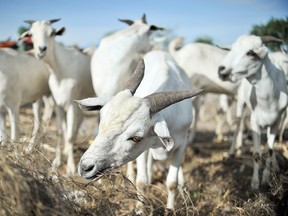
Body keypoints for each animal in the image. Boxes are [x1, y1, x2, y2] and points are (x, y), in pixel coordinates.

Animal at [20, 17, 94, 175]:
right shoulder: (58, 103)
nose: (41, 49)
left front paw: (71, 168)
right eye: (31, 34)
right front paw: (57, 161)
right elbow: (60, 131)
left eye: (52, 33)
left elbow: (70, 135)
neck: (60, 70)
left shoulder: (71, 104)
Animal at [75, 50, 204, 209]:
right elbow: (141, 181)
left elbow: (171, 183)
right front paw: (140, 209)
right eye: (102, 123)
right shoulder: (143, 150)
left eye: (136, 138)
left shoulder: (181, 143)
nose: (85, 167)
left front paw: (170, 207)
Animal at [218, 35, 288, 189]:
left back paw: (275, 166)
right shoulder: (255, 122)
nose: (221, 70)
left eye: (250, 52)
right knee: (238, 124)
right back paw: (232, 153)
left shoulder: (276, 122)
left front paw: (266, 179)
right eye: (232, 49)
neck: (269, 99)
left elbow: (269, 150)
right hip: (241, 103)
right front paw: (255, 183)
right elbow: (256, 153)